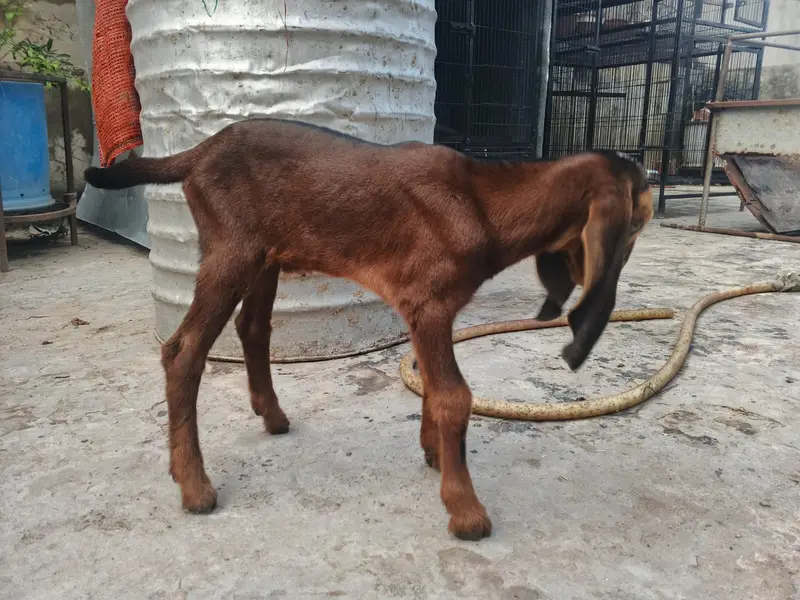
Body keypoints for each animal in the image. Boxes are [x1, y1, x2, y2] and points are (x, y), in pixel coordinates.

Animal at [84, 118, 654, 541]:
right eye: (637, 221)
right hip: (231, 251)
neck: (483, 202)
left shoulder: (428, 313)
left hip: (264, 255)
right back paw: (193, 484)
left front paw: (434, 453)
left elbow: (432, 386)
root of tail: (201, 151)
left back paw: (272, 417)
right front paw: (465, 509)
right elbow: (454, 395)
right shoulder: (428, 303)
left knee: (253, 327)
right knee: (183, 351)